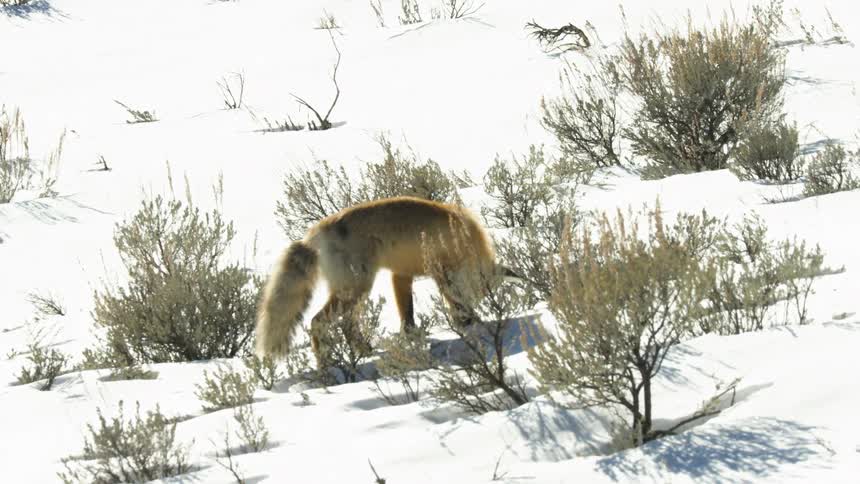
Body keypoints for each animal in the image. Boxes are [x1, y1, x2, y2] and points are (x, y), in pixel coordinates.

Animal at [255, 196, 519, 364]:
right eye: (472, 295)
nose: (467, 322)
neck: (464, 238)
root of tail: (313, 234)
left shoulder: (401, 274)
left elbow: (407, 313)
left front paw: (411, 338)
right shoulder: (439, 273)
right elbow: (430, 305)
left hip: (357, 292)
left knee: (348, 326)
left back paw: (364, 350)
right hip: (356, 288)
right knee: (317, 322)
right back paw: (326, 366)